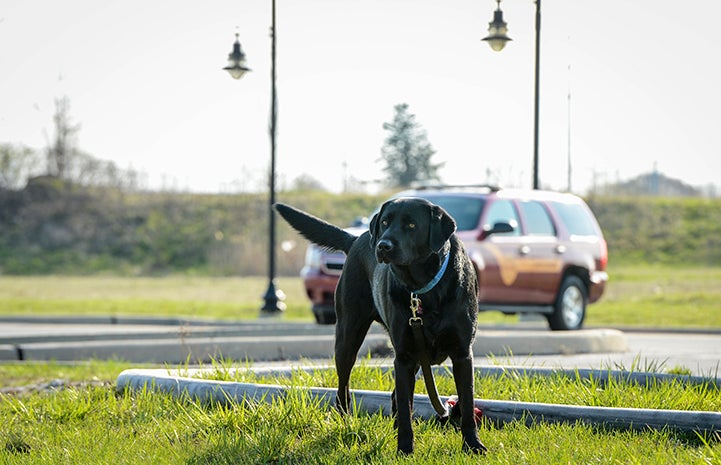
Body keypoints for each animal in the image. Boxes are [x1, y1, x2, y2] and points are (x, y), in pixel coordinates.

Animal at [272, 197, 486, 454]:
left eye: (412, 225)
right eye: (385, 222)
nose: (383, 246)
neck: (424, 287)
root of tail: (356, 238)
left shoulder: (462, 354)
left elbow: (467, 404)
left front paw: (473, 445)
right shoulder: (404, 357)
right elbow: (405, 406)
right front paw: (405, 449)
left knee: (395, 396)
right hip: (348, 338)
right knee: (344, 388)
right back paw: (345, 421)